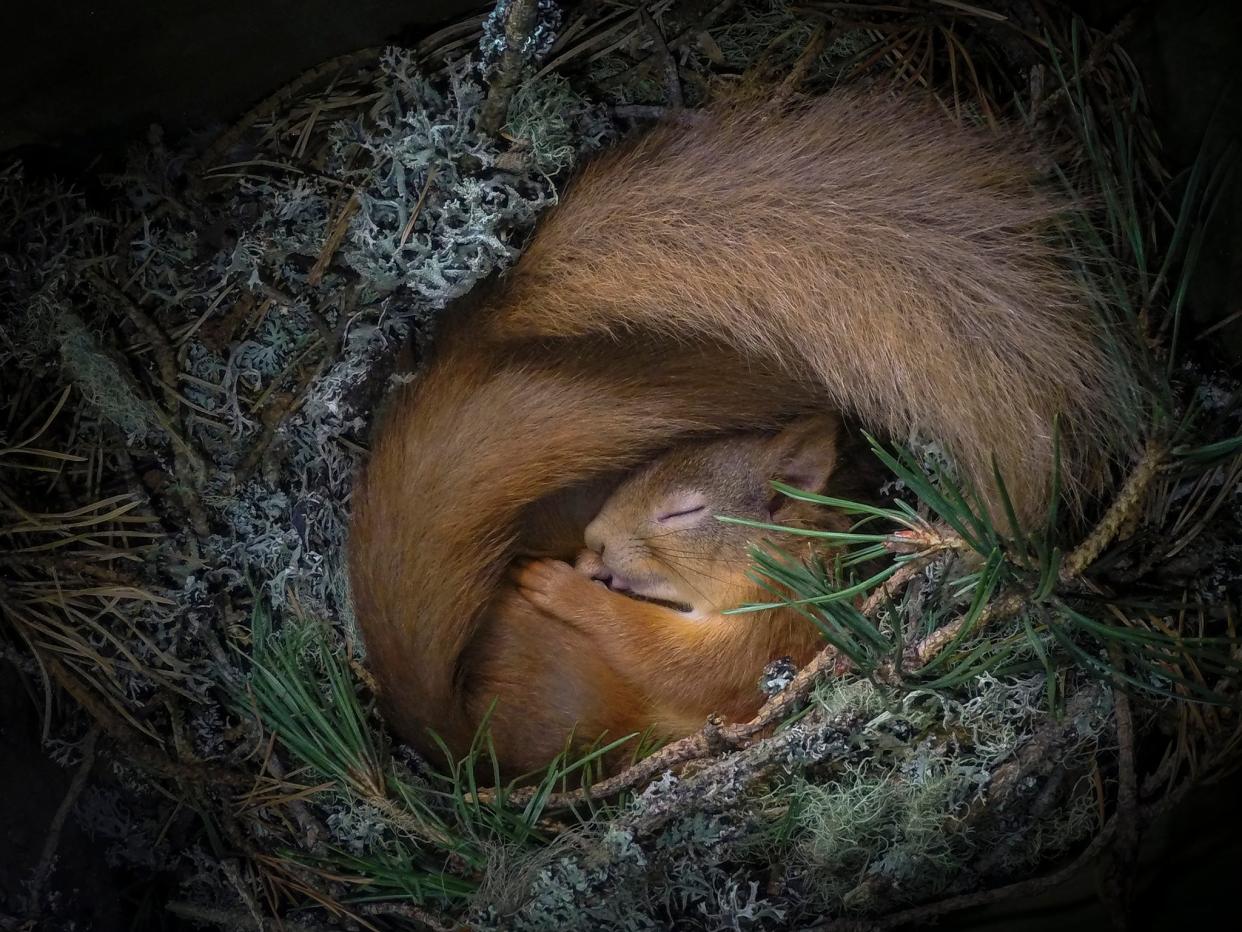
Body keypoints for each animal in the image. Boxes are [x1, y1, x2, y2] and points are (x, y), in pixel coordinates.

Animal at [345, 87, 1137, 775]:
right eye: (641, 471)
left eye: (686, 511)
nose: (594, 542)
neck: (788, 558)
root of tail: (453, 739)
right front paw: (581, 569)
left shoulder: (769, 633)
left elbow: (677, 662)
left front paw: (564, 586)